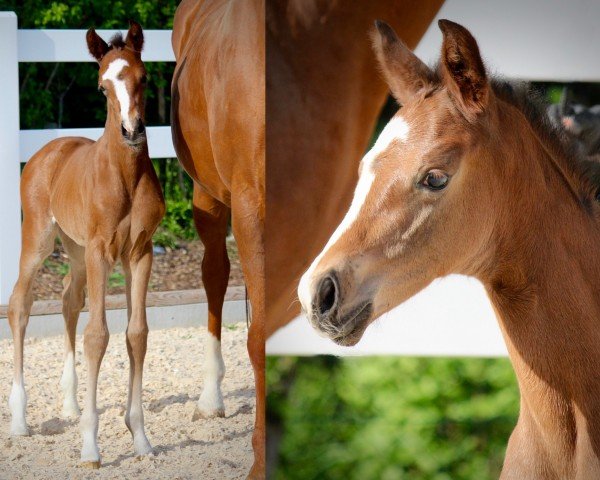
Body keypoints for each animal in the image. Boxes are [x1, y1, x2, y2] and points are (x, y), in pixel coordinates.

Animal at [7, 23, 166, 468]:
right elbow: (97, 336)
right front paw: (91, 447)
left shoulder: (139, 254)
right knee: (20, 304)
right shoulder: (100, 251)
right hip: (39, 241)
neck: (125, 177)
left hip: (75, 252)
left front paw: (140, 437)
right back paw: (20, 420)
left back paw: (70, 404)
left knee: (67, 300)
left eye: (144, 76)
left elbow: (137, 334)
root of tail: (47, 149)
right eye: (101, 86)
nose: (132, 131)